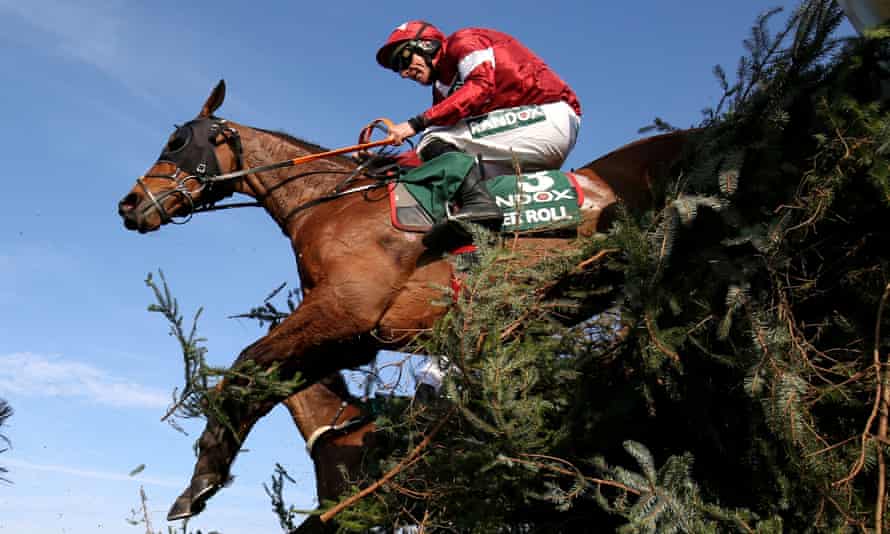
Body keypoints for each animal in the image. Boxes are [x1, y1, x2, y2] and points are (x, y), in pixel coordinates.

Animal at [117, 80, 687, 521]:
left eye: (176, 142)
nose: (129, 203)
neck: (329, 204)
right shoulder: (352, 336)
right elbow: (261, 382)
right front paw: (203, 480)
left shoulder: (343, 309)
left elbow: (243, 368)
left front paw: (202, 480)